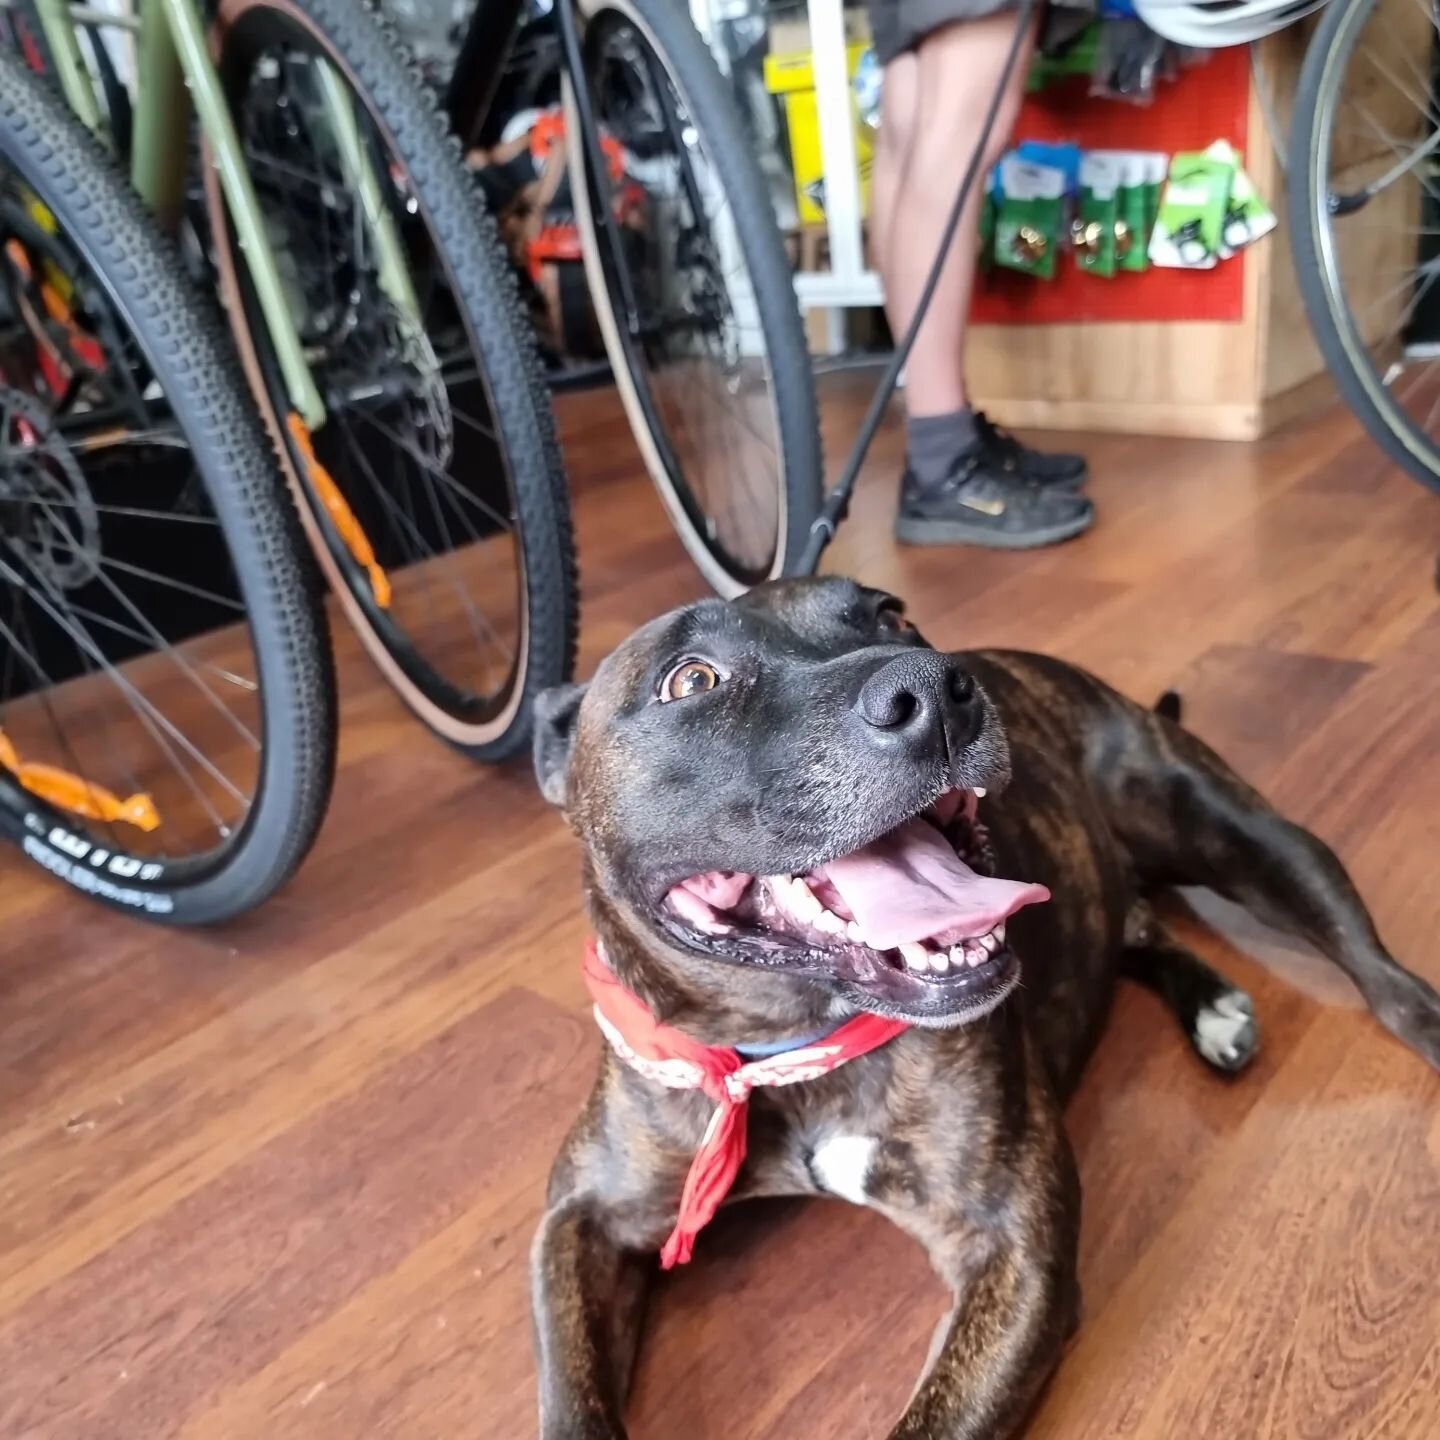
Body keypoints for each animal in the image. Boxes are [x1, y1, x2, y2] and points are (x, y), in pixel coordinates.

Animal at [529, 576, 1440, 1440]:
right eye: (691, 680)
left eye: (891, 615)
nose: (932, 687)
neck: (790, 1051)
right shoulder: (583, 1217)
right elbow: (569, 1399)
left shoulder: (1011, 1253)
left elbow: (934, 1421)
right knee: (1137, 922)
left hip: (1243, 837)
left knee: (1380, 977)